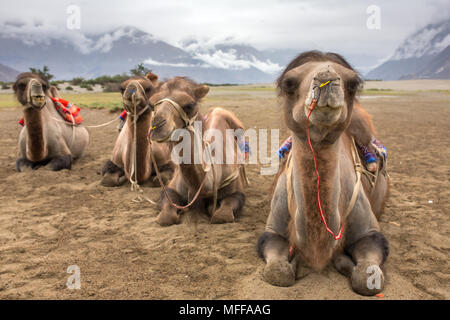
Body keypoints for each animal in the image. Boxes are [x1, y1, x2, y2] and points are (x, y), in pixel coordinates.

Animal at [148, 76, 246, 226]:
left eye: (190, 105)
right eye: (151, 105)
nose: (157, 125)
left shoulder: (236, 192)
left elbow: (222, 215)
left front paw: (211, 208)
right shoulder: (172, 188)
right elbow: (165, 217)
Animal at [256, 51, 390, 296]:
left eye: (353, 83)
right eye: (289, 83)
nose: (326, 81)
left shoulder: (370, 233)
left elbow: (366, 278)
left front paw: (342, 261)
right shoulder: (272, 231)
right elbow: (277, 273)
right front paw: (296, 263)